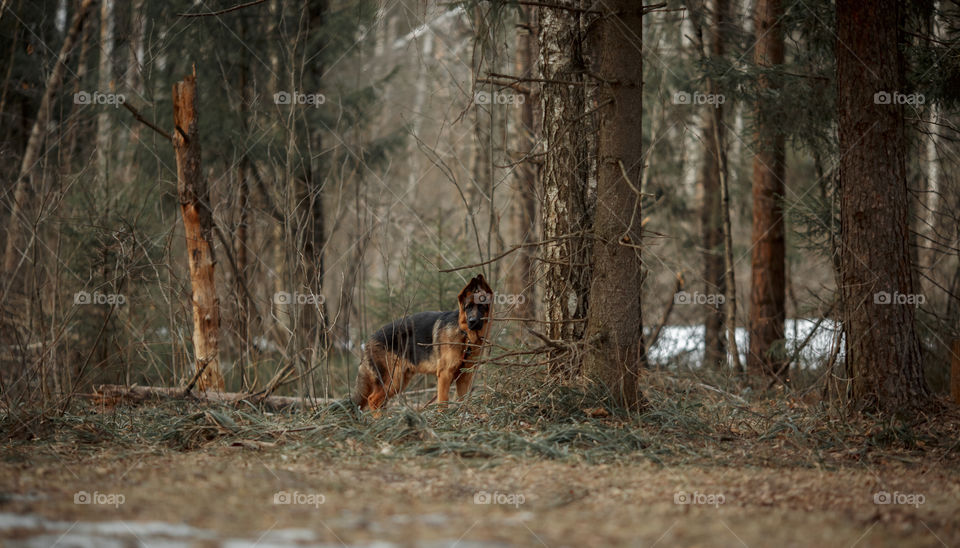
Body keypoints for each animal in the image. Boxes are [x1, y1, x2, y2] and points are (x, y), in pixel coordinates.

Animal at [350, 274, 496, 412]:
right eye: (468, 307)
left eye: (481, 307)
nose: (472, 321)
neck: (465, 336)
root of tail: (369, 340)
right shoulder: (444, 374)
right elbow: (443, 404)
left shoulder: (464, 376)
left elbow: (463, 401)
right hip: (393, 379)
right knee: (373, 400)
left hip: (399, 381)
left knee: (378, 401)